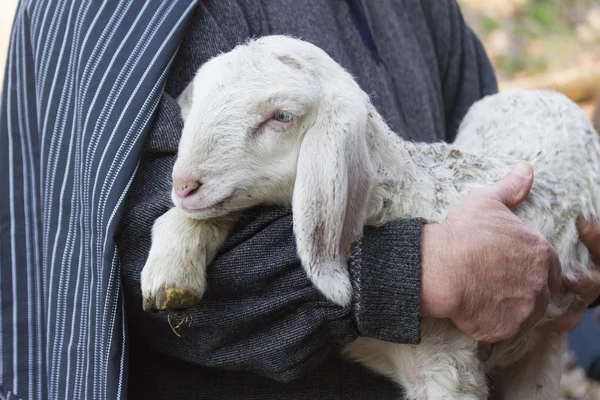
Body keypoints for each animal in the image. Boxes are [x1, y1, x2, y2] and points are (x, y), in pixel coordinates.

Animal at [138, 35, 600, 400]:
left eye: (282, 116)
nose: (183, 184)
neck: (404, 196)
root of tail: (545, 94)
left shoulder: (446, 368)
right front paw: (171, 275)